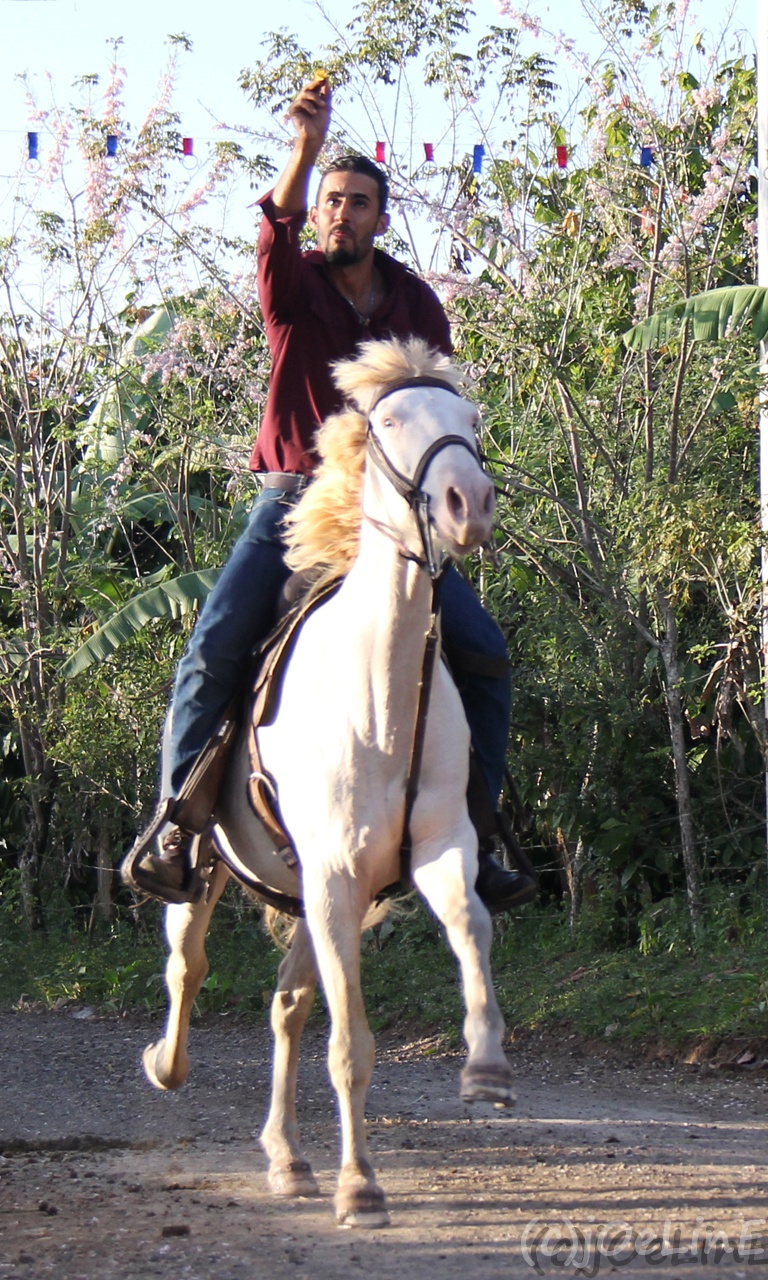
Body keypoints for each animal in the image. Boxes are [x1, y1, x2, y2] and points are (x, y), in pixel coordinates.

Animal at [140, 336, 516, 1229]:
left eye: (470, 416)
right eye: (389, 422)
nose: (469, 504)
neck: (379, 693)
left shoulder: (434, 852)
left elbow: (473, 926)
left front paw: (486, 1068)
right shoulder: (337, 877)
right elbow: (351, 1046)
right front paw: (361, 1188)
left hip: (311, 891)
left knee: (286, 1005)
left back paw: (288, 1159)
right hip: (213, 867)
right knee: (187, 964)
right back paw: (166, 1064)